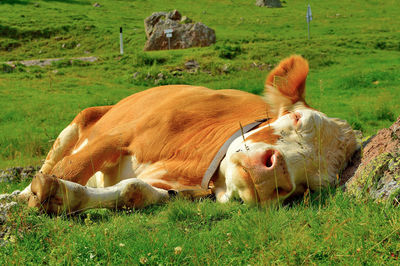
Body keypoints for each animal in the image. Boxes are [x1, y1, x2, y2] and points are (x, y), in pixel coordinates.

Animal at [18, 55, 356, 214]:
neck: (190, 161)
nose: (277, 174)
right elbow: (69, 169)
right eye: (297, 117)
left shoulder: (175, 190)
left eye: (307, 187)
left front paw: (61, 195)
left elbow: (133, 191)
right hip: (75, 128)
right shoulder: (115, 137)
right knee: (54, 162)